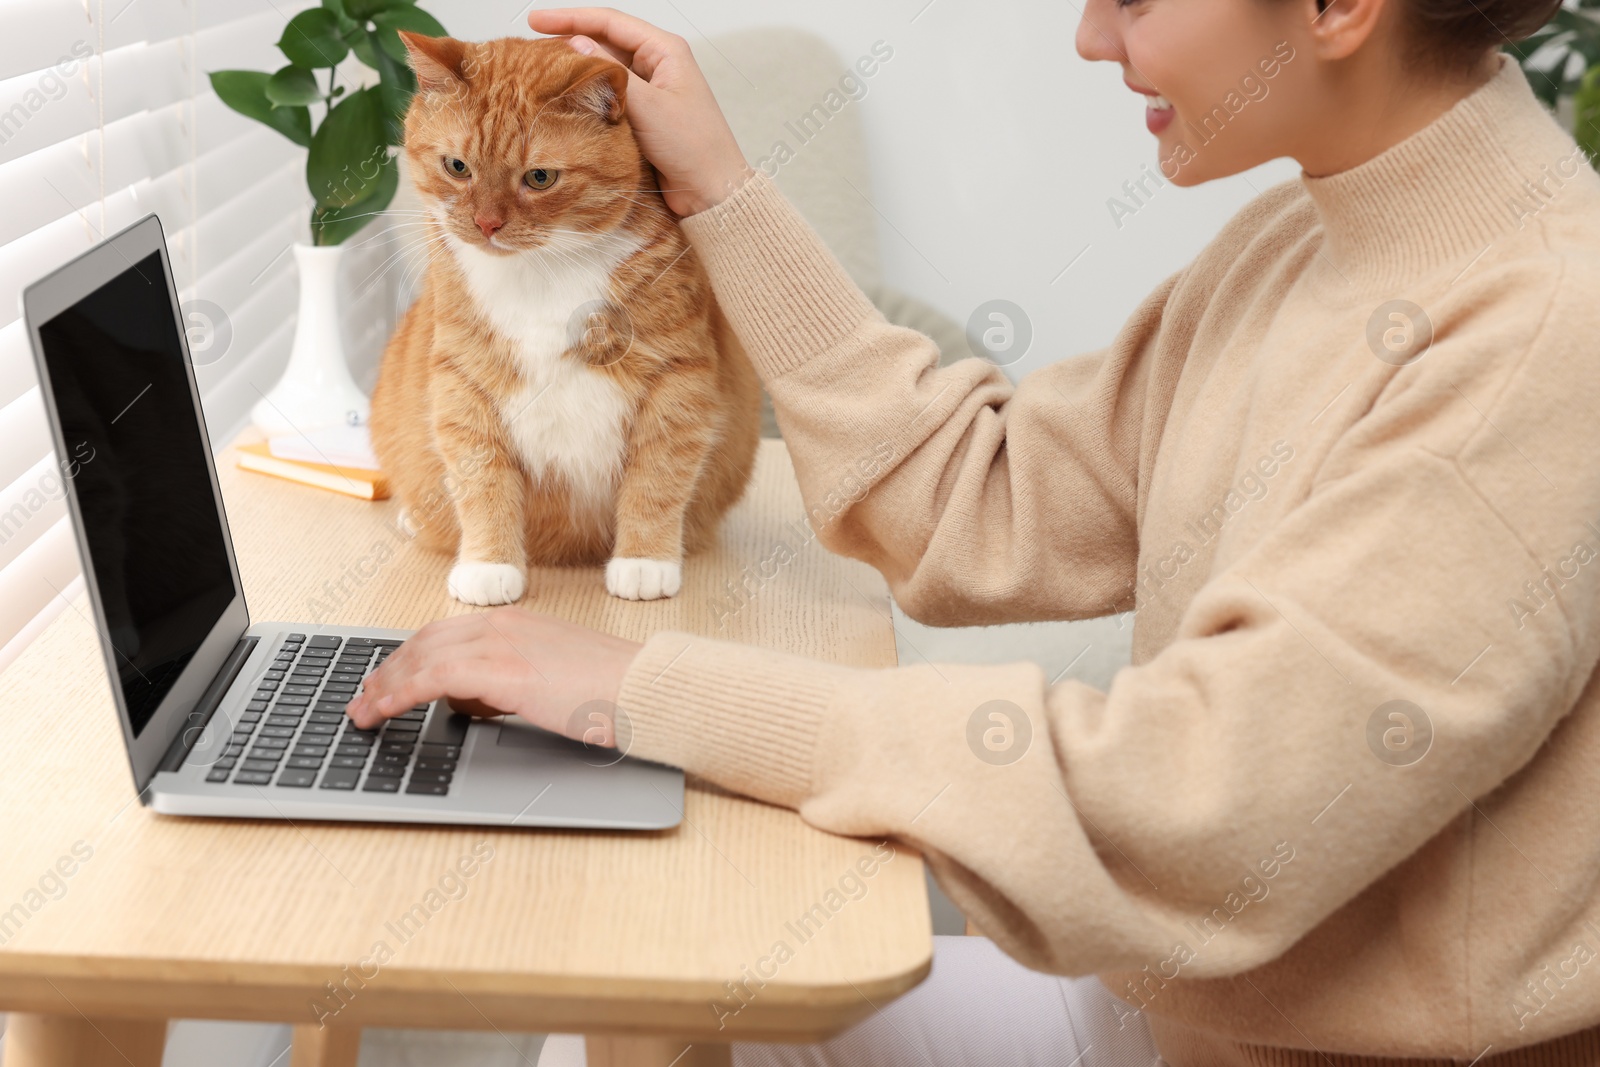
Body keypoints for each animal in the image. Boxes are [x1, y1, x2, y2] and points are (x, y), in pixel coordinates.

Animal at [371, 33, 758, 604]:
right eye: (457, 167)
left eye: (539, 177)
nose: (486, 223)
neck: (544, 269)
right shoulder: (462, 381)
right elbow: (481, 481)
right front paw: (488, 566)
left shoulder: (678, 379)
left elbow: (658, 477)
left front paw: (645, 562)